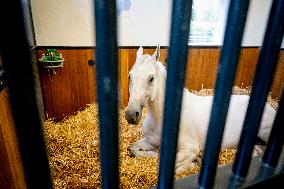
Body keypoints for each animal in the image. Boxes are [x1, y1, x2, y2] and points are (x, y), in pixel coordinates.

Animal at [124, 45, 276, 173]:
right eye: (130, 75)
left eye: (151, 78)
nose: (131, 115)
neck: (159, 118)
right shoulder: (150, 140)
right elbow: (132, 149)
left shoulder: (190, 148)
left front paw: (194, 161)